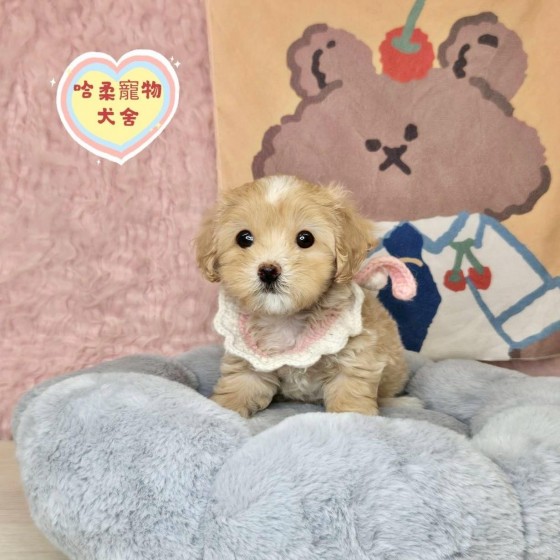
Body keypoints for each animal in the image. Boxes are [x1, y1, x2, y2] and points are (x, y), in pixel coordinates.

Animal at [195, 175, 412, 417]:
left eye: (305, 238)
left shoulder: (356, 353)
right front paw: (223, 410)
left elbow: (350, 391)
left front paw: (351, 417)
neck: (285, 318)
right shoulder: (249, 362)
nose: (268, 271)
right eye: (244, 238)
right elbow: (238, 386)